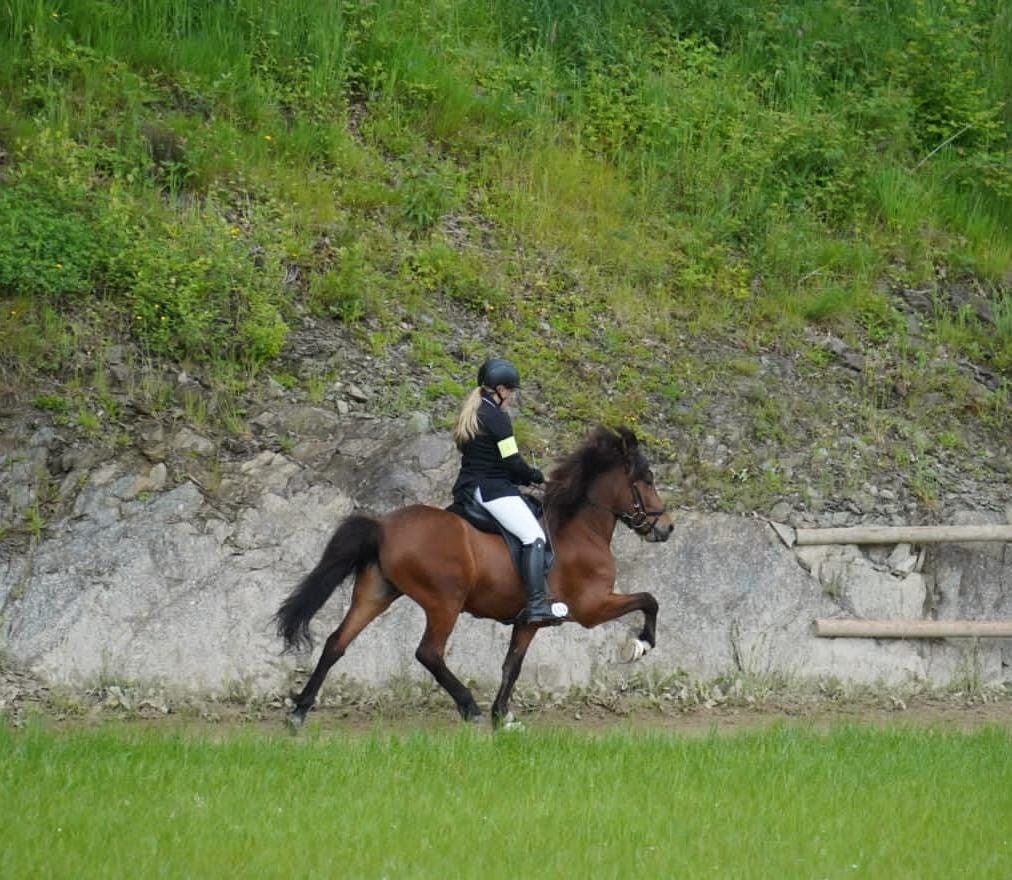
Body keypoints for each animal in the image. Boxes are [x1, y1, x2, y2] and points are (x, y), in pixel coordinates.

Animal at [275, 425, 674, 728]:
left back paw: (299, 711)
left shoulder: (528, 622)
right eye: (647, 480)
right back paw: (469, 707)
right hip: (444, 603)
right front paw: (640, 645)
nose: (667, 527)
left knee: (336, 643)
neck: (580, 528)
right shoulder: (592, 607)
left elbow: (512, 665)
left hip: (376, 593)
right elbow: (650, 599)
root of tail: (384, 526)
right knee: (428, 653)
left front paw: (503, 716)